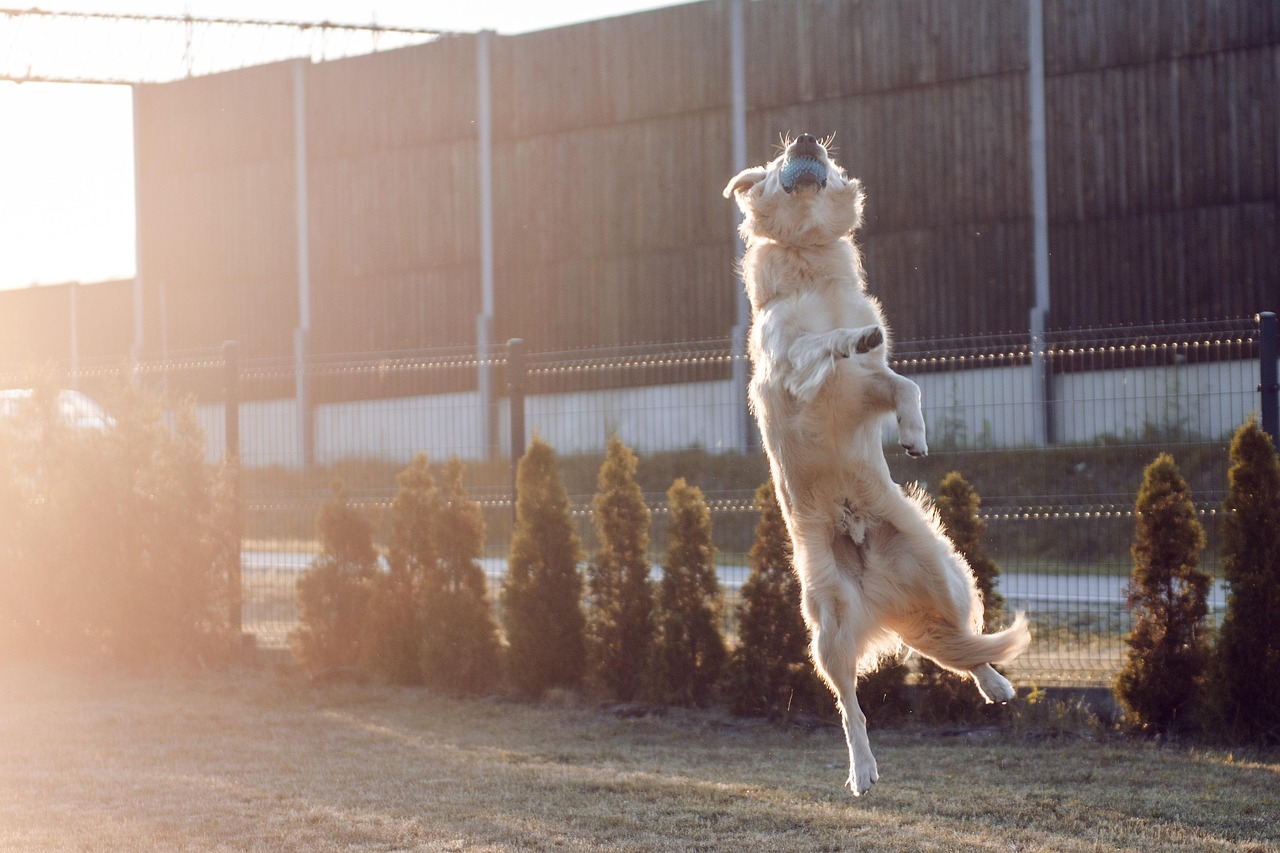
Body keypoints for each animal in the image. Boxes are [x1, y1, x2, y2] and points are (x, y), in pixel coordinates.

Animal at [732, 131, 1029, 788]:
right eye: (778, 160)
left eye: (822, 152)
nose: (806, 138)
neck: (811, 266)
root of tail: (877, 588)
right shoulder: (793, 367)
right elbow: (823, 344)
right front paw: (847, 339)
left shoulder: (866, 389)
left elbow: (903, 384)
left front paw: (915, 435)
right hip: (829, 627)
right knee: (851, 705)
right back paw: (862, 769)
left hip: (944, 574)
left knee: (958, 638)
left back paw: (994, 681)